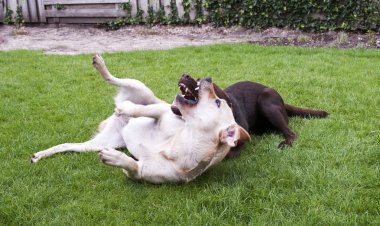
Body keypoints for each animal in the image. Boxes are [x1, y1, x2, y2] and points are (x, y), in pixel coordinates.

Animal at [31, 55, 251, 184]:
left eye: (218, 102)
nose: (207, 79)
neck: (178, 143)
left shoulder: (142, 173)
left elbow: (132, 166)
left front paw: (116, 158)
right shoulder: (163, 112)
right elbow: (145, 110)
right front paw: (127, 108)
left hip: (99, 143)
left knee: (67, 146)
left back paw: (40, 155)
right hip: (140, 87)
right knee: (113, 79)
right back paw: (102, 69)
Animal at [174, 74, 328, 157]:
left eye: (201, 82)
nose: (184, 74)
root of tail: (283, 102)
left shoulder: (240, 140)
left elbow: (228, 152)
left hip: (266, 101)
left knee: (291, 133)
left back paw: (285, 143)